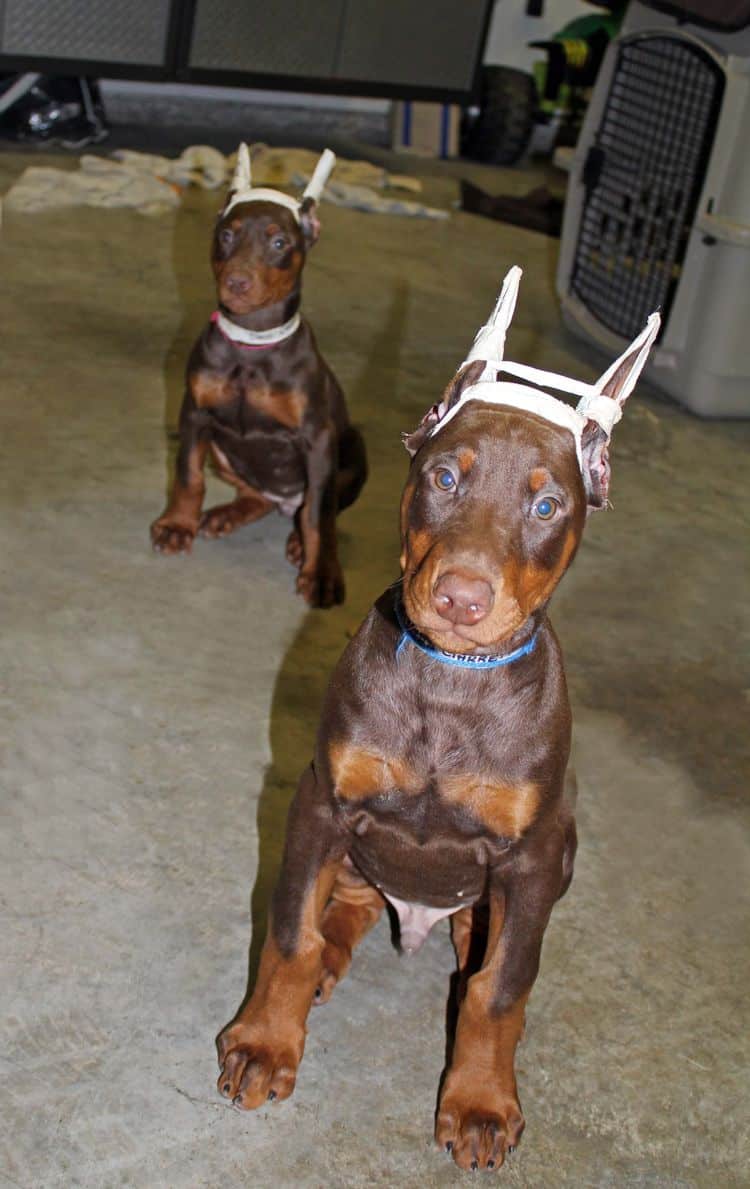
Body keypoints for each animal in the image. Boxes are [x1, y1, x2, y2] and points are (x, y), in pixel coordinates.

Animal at [149, 145, 366, 608]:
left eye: (279, 242)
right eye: (226, 236)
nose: (237, 283)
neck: (251, 344)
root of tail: (283, 500)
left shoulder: (317, 436)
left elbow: (319, 514)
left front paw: (321, 572)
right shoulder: (194, 415)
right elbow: (188, 476)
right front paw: (177, 525)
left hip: (354, 451)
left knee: (319, 506)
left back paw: (298, 542)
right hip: (223, 453)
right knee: (257, 496)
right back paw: (227, 514)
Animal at [215, 269, 656, 1169]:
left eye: (548, 505)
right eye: (445, 478)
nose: (461, 598)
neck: (453, 686)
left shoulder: (530, 853)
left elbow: (501, 987)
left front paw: (481, 1101)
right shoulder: (321, 800)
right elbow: (288, 932)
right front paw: (265, 1040)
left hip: (560, 852)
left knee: (479, 944)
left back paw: (461, 942)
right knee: (344, 904)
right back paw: (333, 957)